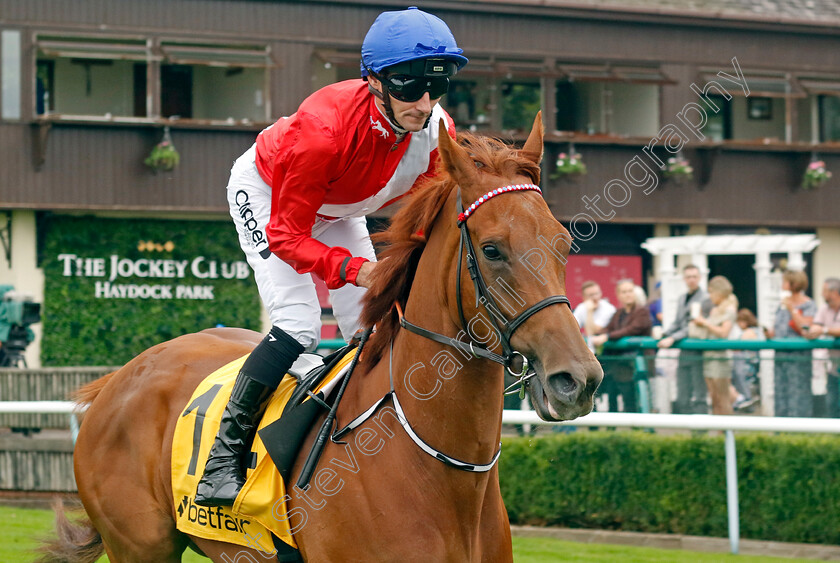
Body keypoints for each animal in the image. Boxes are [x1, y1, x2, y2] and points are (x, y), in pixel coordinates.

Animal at [39, 112, 600, 560]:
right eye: (492, 249)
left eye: (564, 241)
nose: (578, 379)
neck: (440, 470)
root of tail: (117, 379)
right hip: (139, 546)